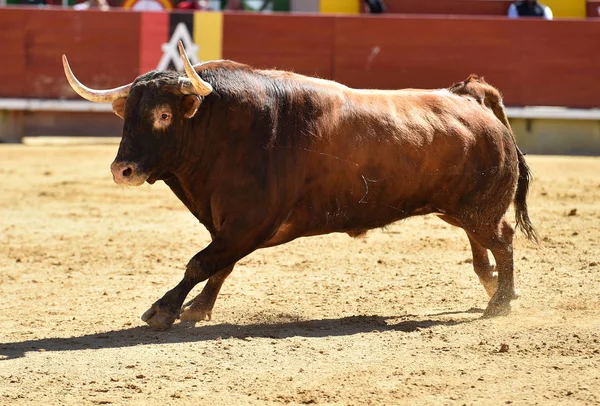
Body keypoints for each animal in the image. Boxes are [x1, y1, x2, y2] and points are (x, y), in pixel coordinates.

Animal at [63, 42, 536, 332]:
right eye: (127, 116)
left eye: (163, 115)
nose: (122, 170)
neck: (223, 129)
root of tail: (472, 98)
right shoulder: (230, 227)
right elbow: (219, 265)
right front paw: (198, 309)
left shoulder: (248, 224)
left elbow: (201, 263)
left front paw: (163, 309)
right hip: (459, 210)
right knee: (482, 248)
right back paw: (497, 289)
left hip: (479, 210)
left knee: (503, 239)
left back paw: (500, 303)